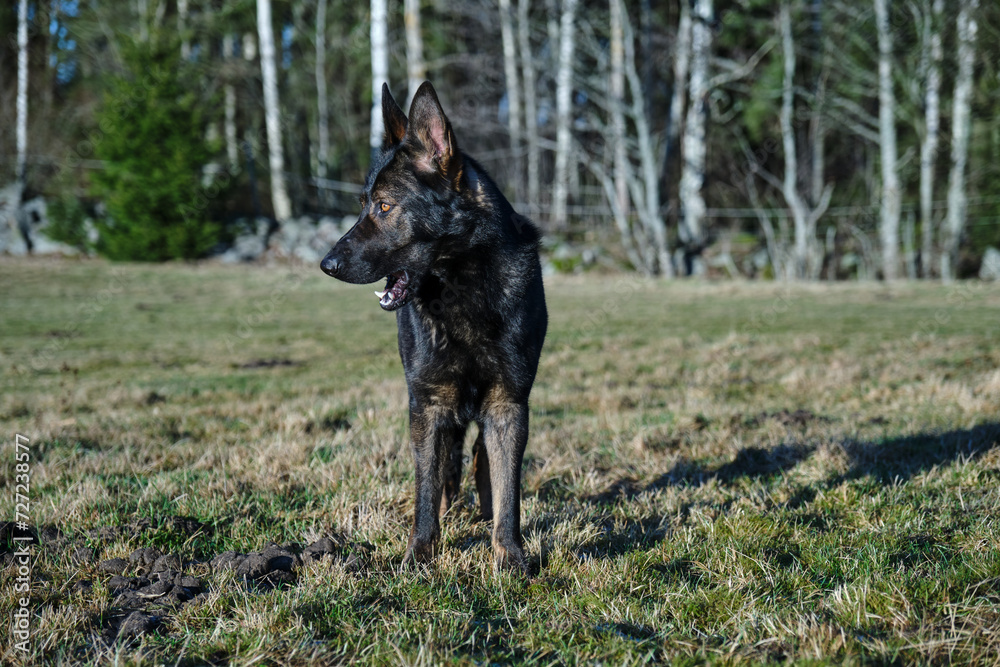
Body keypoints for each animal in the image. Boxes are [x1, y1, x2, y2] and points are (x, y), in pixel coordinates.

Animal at [320, 83, 548, 576]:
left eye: (384, 206)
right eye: (363, 205)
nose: (326, 265)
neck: (463, 285)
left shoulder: (509, 404)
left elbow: (508, 489)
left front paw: (510, 556)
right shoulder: (428, 403)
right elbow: (427, 487)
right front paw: (419, 556)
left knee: (480, 458)